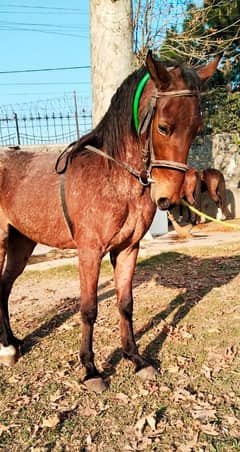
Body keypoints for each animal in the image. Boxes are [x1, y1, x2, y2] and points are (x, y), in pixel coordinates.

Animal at [0, 48, 219, 388]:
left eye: (197, 128)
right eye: (164, 127)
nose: (167, 197)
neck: (114, 177)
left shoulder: (127, 249)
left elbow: (125, 303)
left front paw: (136, 358)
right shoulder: (90, 252)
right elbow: (89, 309)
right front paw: (91, 369)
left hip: (21, 243)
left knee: (5, 287)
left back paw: (12, 344)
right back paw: (6, 348)